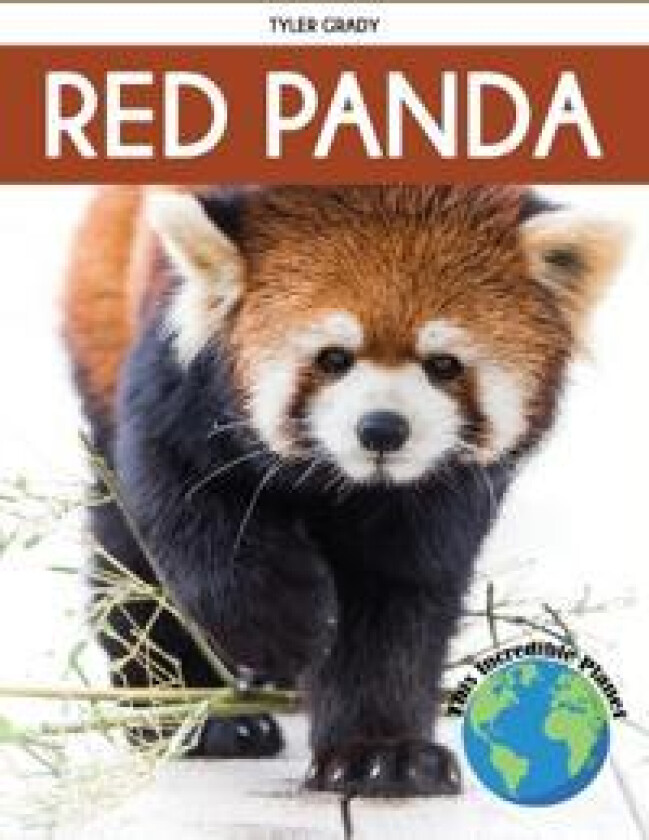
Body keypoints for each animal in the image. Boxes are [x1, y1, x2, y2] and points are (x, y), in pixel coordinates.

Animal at [63, 185, 625, 797]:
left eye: (443, 365)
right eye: (334, 357)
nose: (382, 428)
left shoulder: (437, 497)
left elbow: (397, 598)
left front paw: (382, 753)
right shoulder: (179, 382)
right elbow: (188, 505)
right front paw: (282, 626)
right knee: (129, 563)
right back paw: (194, 717)